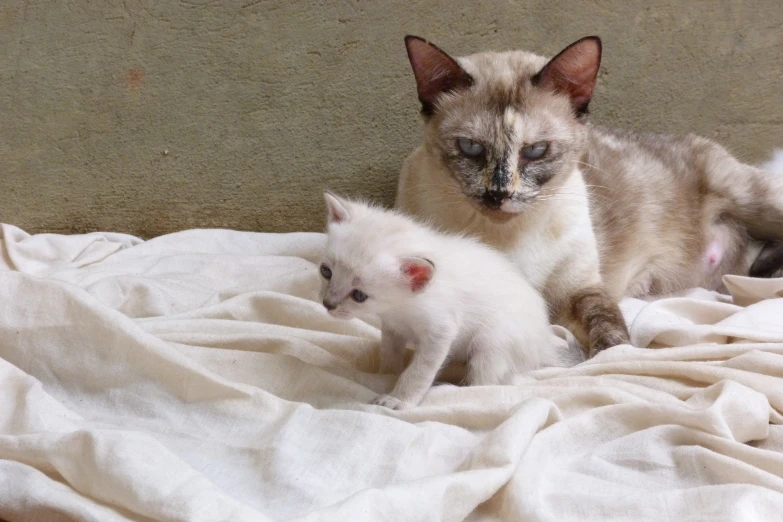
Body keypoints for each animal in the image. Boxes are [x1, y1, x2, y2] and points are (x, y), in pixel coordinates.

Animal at [318, 193, 568, 408]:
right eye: (326, 272)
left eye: (359, 295)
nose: (327, 304)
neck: (400, 307)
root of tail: (544, 344)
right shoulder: (391, 328)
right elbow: (390, 355)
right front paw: (384, 375)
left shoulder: (441, 331)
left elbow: (419, 371)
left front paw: (399, 399)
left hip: (492, 344)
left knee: (487, 384)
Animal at [398, 34, 783, 354]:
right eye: (471, 148)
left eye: (536, 151)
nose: (498, 194)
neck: (507, 236)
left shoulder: (581, 291)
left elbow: (609, 332)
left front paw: (613, 359)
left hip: (753, 199)